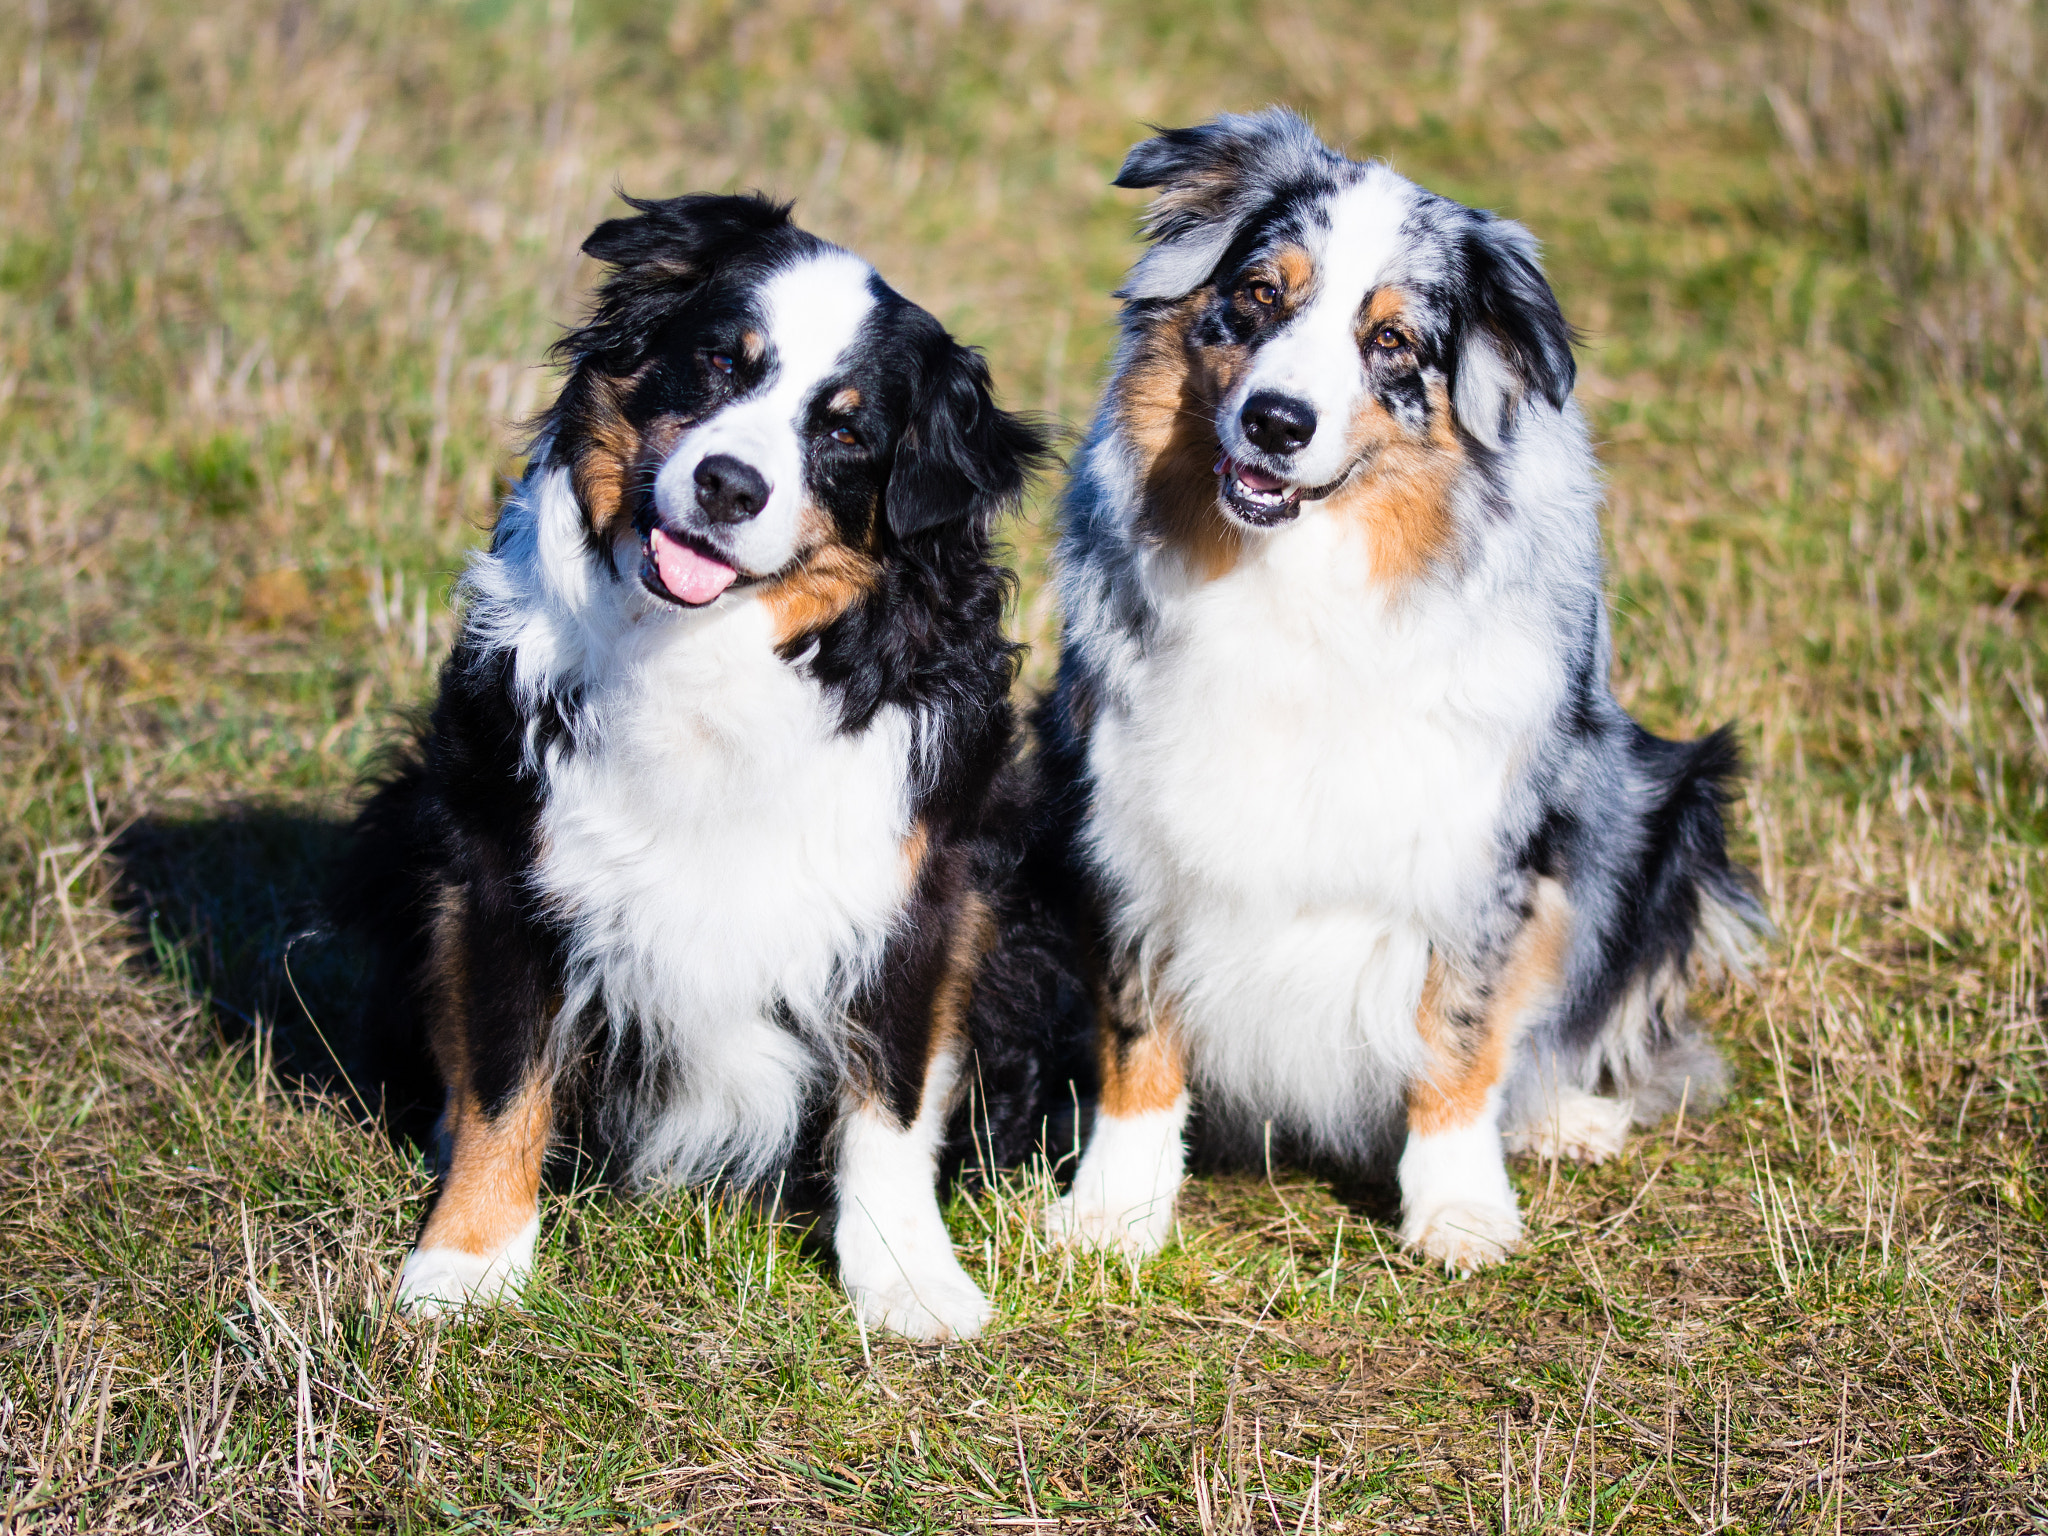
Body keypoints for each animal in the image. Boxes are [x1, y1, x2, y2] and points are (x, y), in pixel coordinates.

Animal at [331, 192, 1089, 1343]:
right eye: (723, 363)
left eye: (845, 430)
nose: (727, 484)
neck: (713, 654)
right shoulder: (509, 863)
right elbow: (506, 1078)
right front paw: (467, 1263)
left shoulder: (922, 890)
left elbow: (894, 1090)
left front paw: (906, 1279)